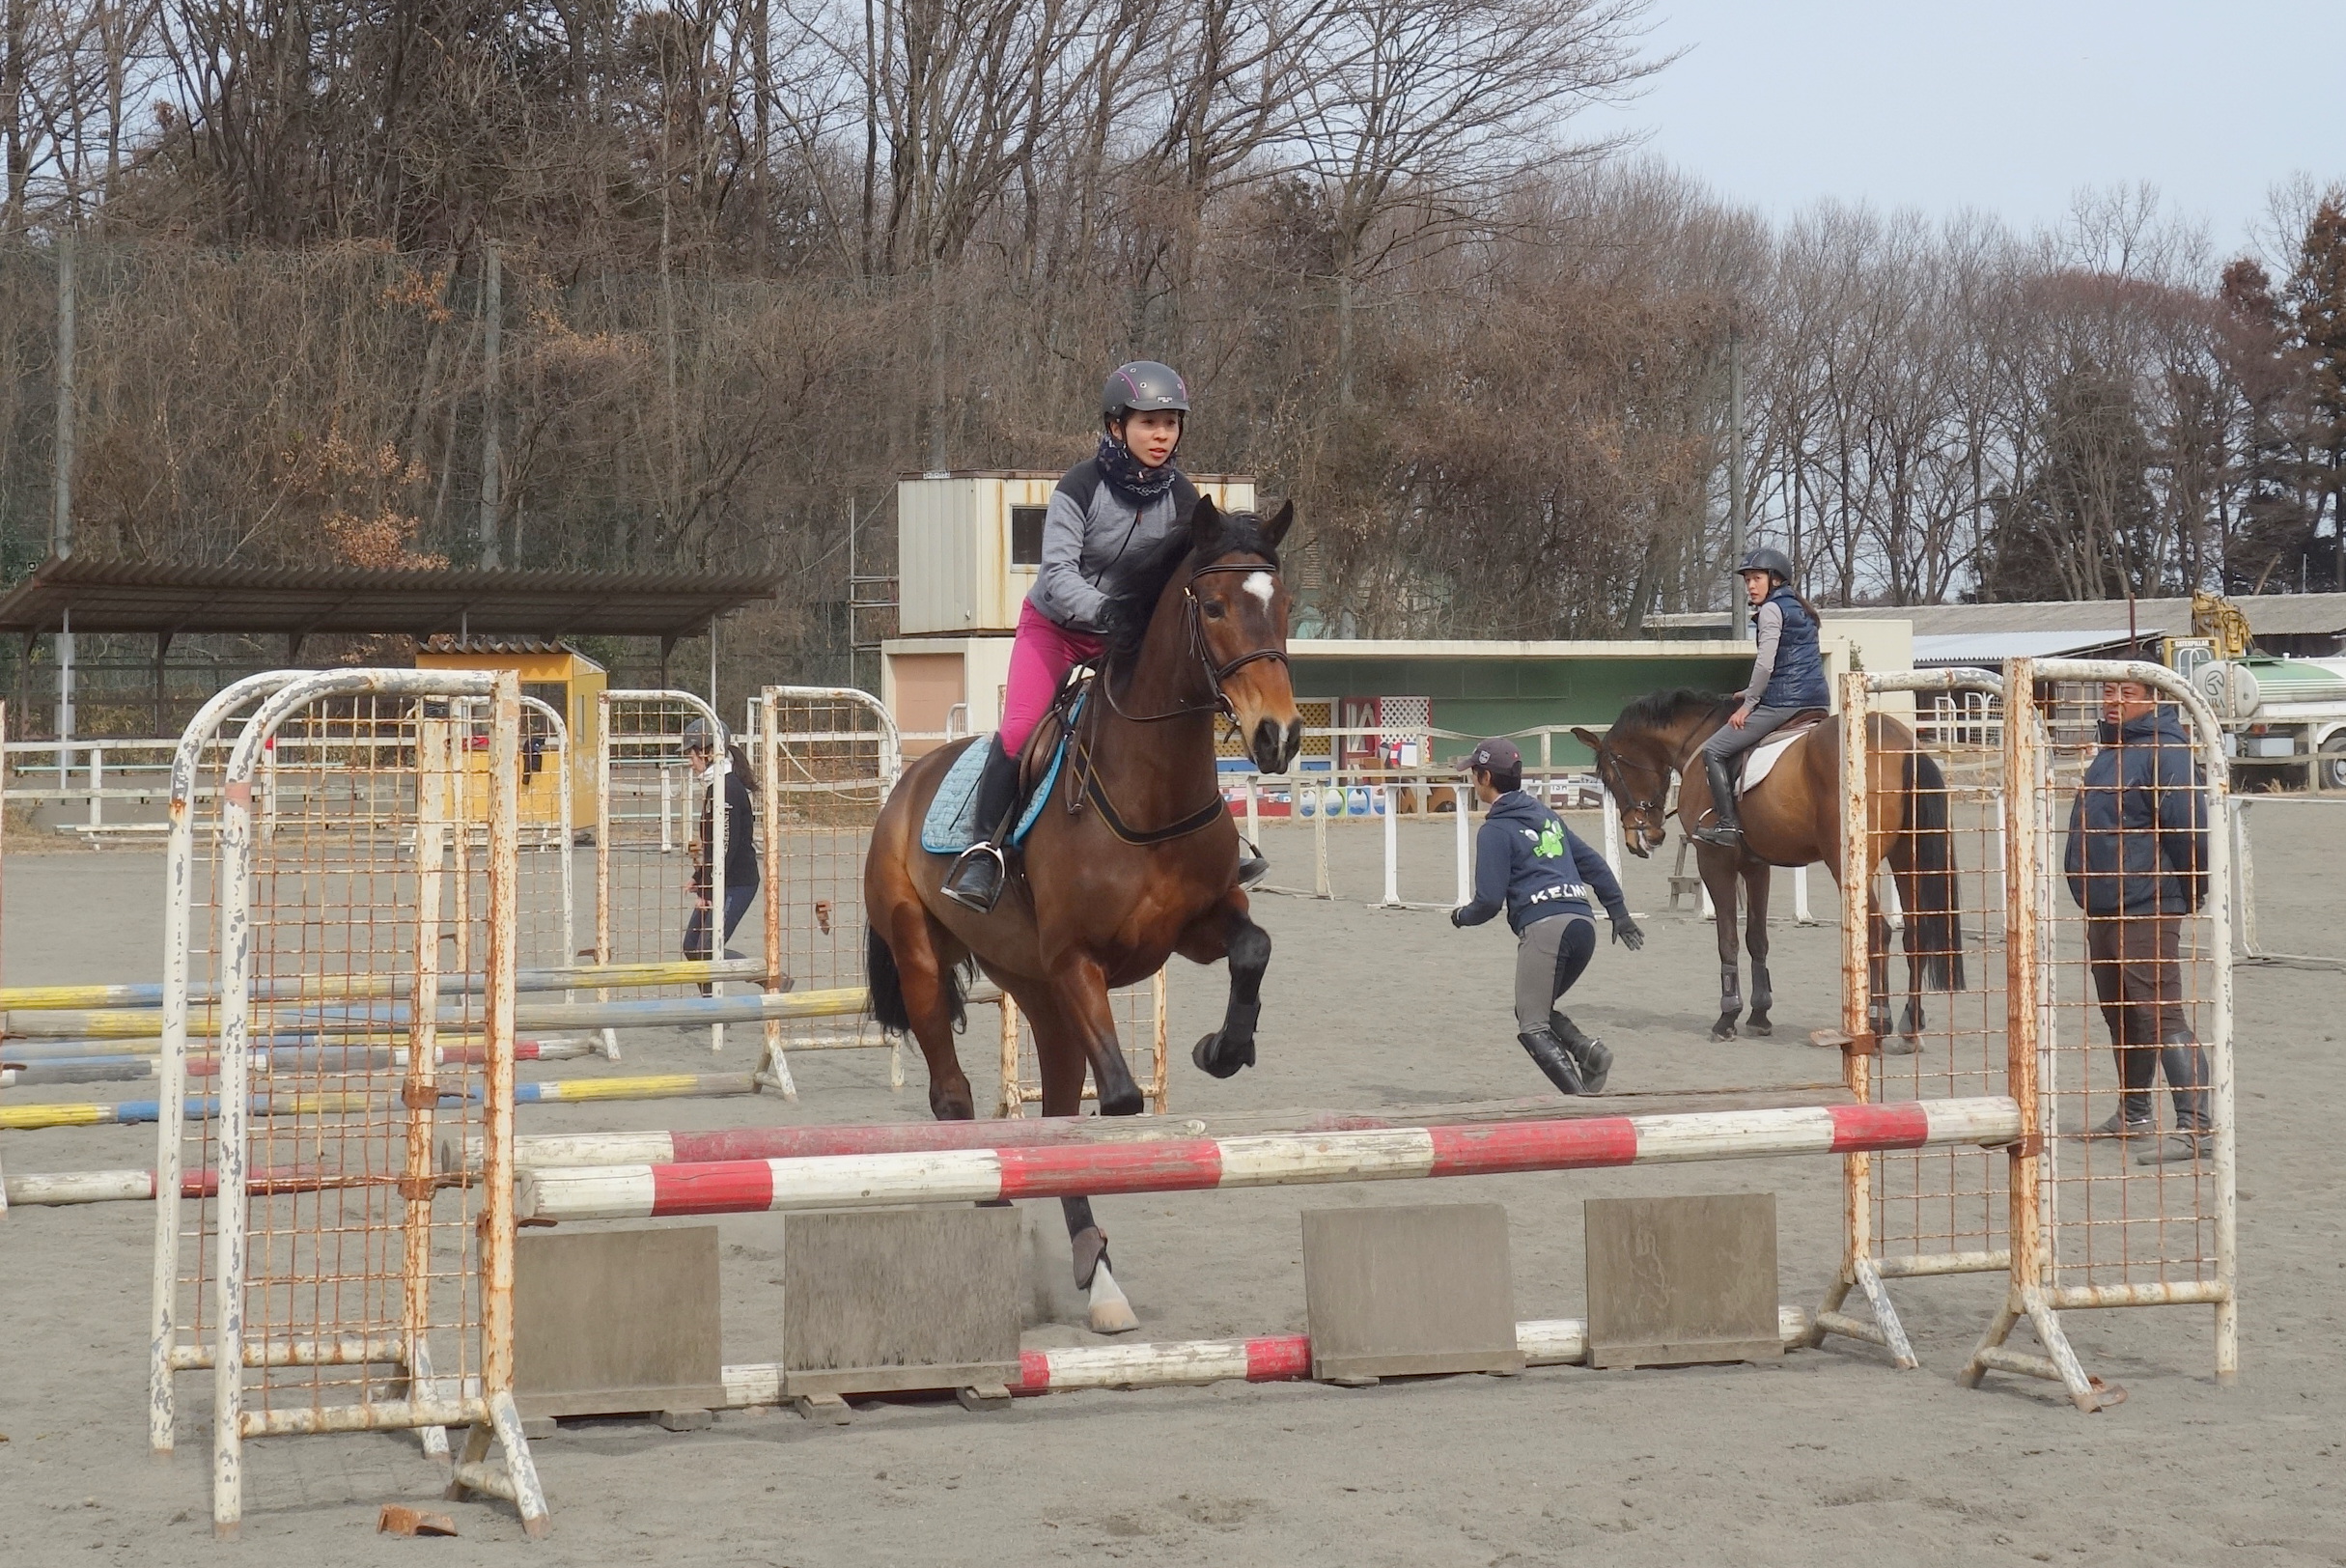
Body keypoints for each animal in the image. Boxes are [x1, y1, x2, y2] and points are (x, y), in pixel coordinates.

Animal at [863, 494, 1304, 1332]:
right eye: (1215, 606)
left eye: (1285, 605)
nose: (1280, 736)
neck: (1150, 784)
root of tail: (907, 786)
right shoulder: (1078, 962)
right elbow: (1124, 1099)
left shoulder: (1195, 927)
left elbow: (1256, 949)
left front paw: (1221, 1048)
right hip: (928, 962)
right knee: (954, 1094)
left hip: (1035, 991)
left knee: (1059, 1100)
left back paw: (1093, 1273)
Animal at [1576, 694, 1961, 1042]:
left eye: (1611, 775)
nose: (1642, 838)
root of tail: (1901, 746)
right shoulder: (1756, 867)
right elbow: (1757, 939)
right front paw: (1759, 1015)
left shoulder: (1714, 862)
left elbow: (1728, 940)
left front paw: (1727, 1017)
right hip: (1906, 858)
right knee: (1915, 933)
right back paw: (1911, 1024)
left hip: (1848, 864)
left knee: (1878, 931)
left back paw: (1879, 1021)